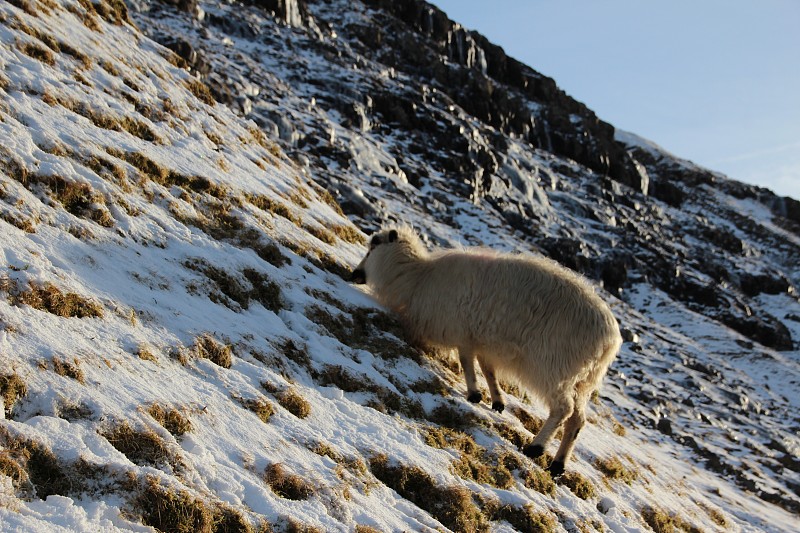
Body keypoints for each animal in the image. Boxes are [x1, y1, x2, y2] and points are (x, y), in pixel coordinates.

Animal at [352, 225, 624, 474]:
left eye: (373, 246)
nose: (355, 274)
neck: (416, 276)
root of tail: (609, 339)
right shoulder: (482, 340)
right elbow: (487, 368)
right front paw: (496, 400)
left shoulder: (463, 332)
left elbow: (467, 361)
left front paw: (474, 394)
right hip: (583, 382)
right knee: (578, 420)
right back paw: (558, 464)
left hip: (553, 367)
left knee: (563, 410)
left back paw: (536, 447)